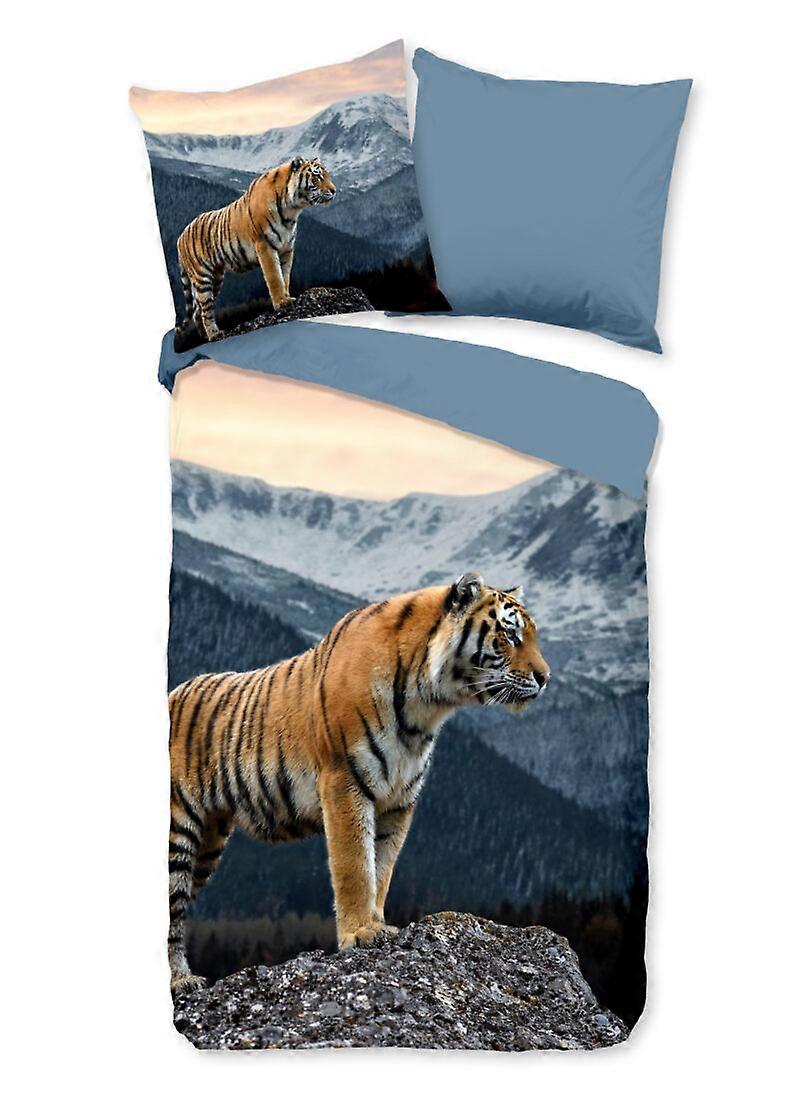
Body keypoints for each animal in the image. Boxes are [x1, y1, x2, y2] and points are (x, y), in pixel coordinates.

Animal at [167, 572, 551, 993]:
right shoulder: (345, 783)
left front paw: (378, 924)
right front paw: (361, 933)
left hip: (208, 846)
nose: (546, 678)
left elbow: (381, 867)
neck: (426, 707)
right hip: (177, 831)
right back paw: (181, 981)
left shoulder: (399, 799)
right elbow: (354, 865)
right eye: (510, 635)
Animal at [176, 156, 336, 342]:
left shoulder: (287, 249)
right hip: (203, 277)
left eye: (327, 175)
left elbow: (285, 276)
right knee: (205, 309)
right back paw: (215, 334)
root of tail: (180, 237)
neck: (292, 211)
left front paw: (287, 296)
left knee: (198, 311)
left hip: (216, 278)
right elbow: (275, 277)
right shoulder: (265, 246)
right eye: (317, 176)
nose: (334, 190)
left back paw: (204, 337)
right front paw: (282, 302)